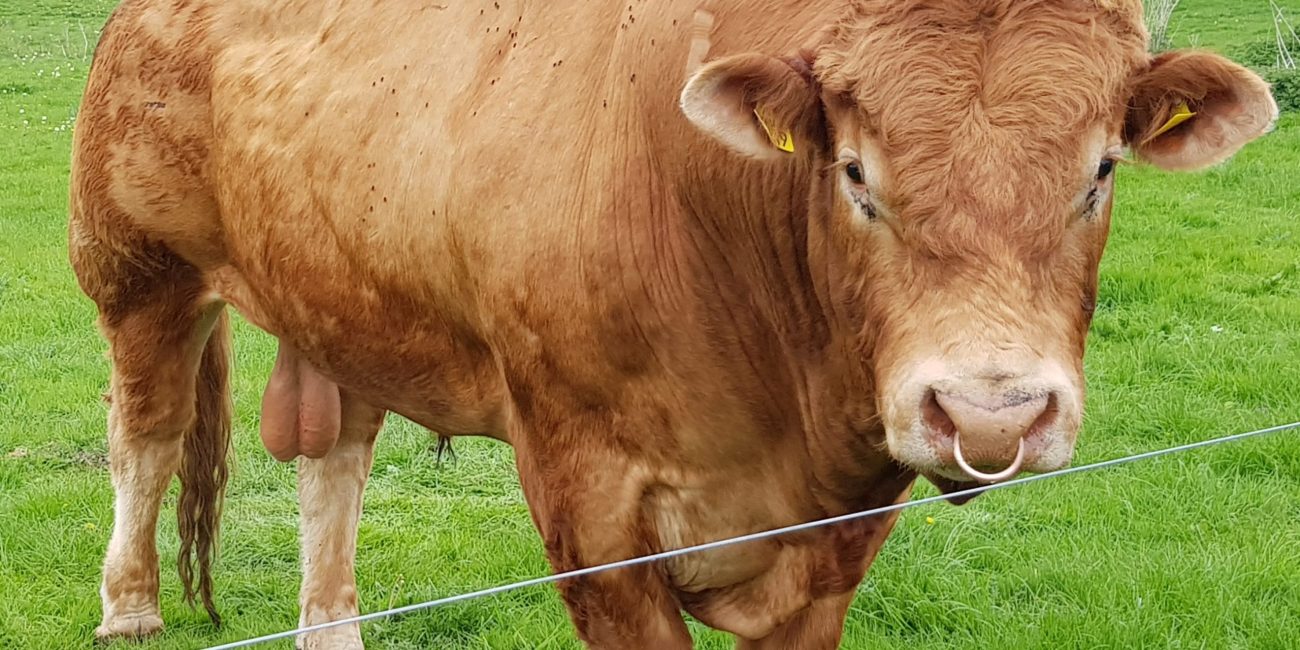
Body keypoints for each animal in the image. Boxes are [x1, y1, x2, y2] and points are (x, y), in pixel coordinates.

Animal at [68, 0, 1268, 647]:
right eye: (854, 172)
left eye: (1099, 170)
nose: (989, 414)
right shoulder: (589, 510)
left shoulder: (834, 539)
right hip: (135, 270)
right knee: (146, 437)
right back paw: (129, 609)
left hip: (340, 298)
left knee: (334, 462)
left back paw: (333, 623)